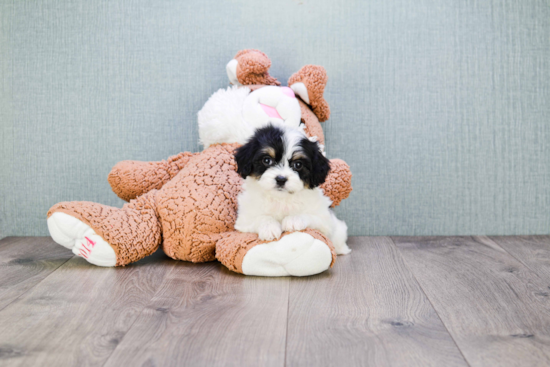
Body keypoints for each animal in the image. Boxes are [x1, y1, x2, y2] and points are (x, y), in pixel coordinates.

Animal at [235, 123, 352, 256]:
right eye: (267, 160)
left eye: (298, 165)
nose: (281, 179)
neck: (281, 199)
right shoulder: (244, 219)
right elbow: (260, 217)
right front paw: (269, 227)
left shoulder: (324, 221)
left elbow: (311, 216)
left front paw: (293, 220)